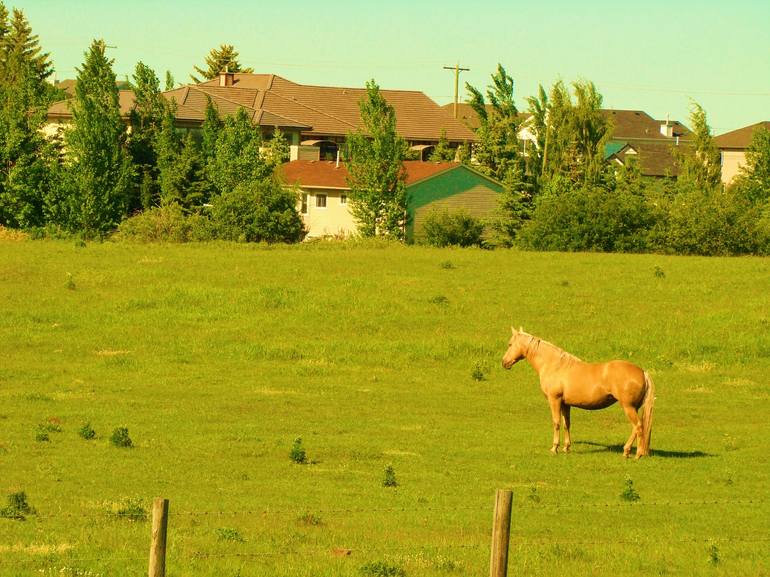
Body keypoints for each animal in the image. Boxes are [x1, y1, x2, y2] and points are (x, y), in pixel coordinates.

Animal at [504, 326, 656, 456]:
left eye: (510, 344)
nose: (504, 362)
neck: (556, 366)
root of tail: (642, 372)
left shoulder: (554, 400)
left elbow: (556, 423)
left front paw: (554, 448)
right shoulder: (565, 404)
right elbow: (566, 424)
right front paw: (566, 447)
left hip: (628, 407)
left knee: (638, 426)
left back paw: (634, 453)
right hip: (634, 407)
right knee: (637, 428)